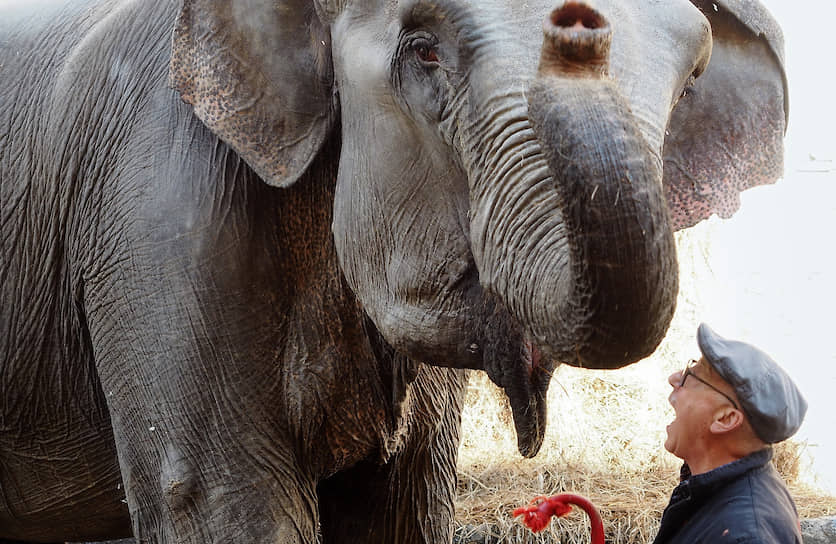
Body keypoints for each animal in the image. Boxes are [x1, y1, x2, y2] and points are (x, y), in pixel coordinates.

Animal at [0, 0, 784, 540]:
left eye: (692, 77)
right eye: (422, 48)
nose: (578, 25)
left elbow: (402, 508)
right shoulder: (155, 205)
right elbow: (217, 499)